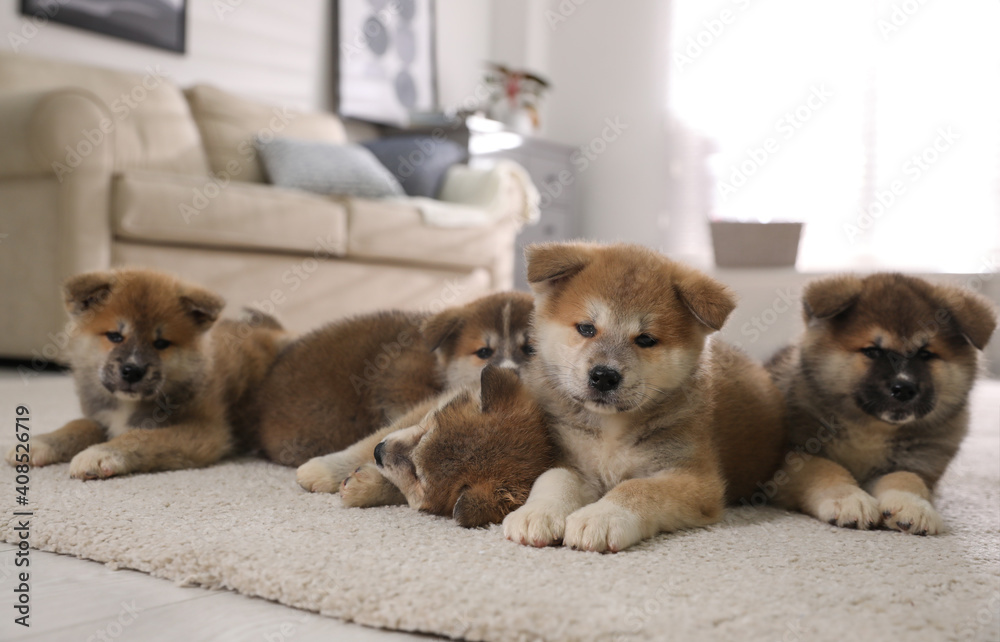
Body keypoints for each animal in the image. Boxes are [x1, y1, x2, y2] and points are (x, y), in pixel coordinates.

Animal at [6, 268, 290, 478]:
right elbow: (76, 425)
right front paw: (40, 442)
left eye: (161, 343)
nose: (133, 371)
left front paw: (101, 453)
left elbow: (141, 437)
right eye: (115, 336)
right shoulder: (100, 417)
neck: (126, 405)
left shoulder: (204, 432)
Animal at [500, 240, 788, 552]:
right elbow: (552, 479)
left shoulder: (694, 478)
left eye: (646, 339)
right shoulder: (571, 460)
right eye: (586, 328)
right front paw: (537, 512)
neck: (611, 431)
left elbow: (637, 488)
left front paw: (601, 516)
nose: (604, 376)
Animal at [764, 272, 992, 532]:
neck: (870, 430)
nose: (904, 388)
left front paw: (913, 505)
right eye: (873, 351)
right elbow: (824, 468)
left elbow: (907, 479)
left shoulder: (918, 464)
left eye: (925, 354)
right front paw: (849, 499)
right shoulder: (786, 460)